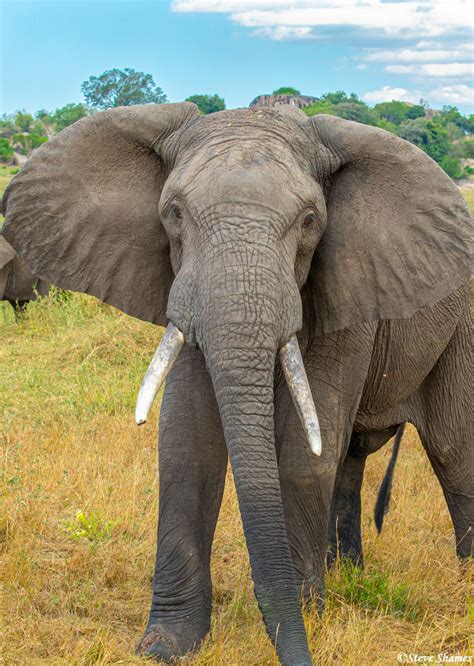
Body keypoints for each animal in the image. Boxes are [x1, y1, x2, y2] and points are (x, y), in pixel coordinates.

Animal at [1, 101, 472, 660]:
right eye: (173, 213)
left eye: (310, 221)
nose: (297, 651)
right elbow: (186, 441)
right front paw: (165, 645)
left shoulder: (348, 291)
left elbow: (303, 451)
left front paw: (309, 617)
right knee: (354, 459)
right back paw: (347, 576)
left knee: (452, 449)